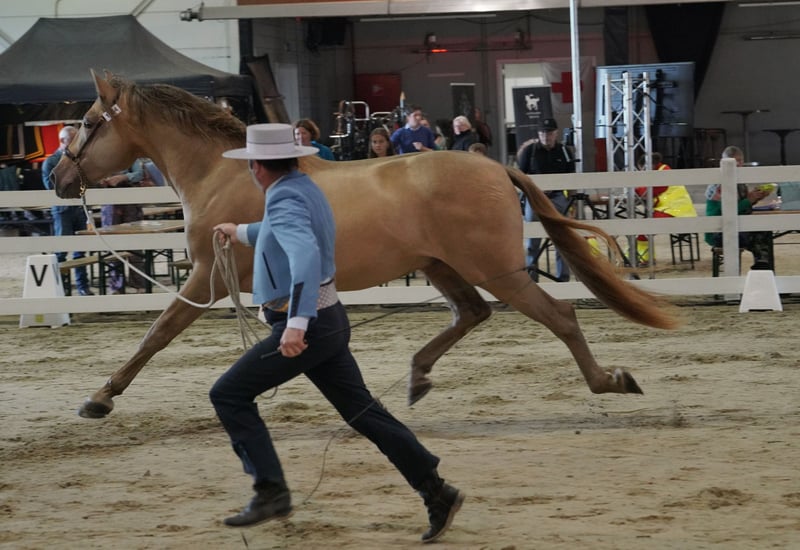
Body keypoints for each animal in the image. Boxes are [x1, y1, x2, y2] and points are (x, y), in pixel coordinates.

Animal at [52, 71, 678, 419]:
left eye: (87, 121)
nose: (57, 177)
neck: (223, 172)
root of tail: (495, 167)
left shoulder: (206, 274)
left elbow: (156, 334)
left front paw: (100, 397)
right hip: (441, 266)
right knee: (471, 314)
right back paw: (418, 377)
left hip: (496, 269)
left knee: (560, 316)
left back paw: (609, 381)